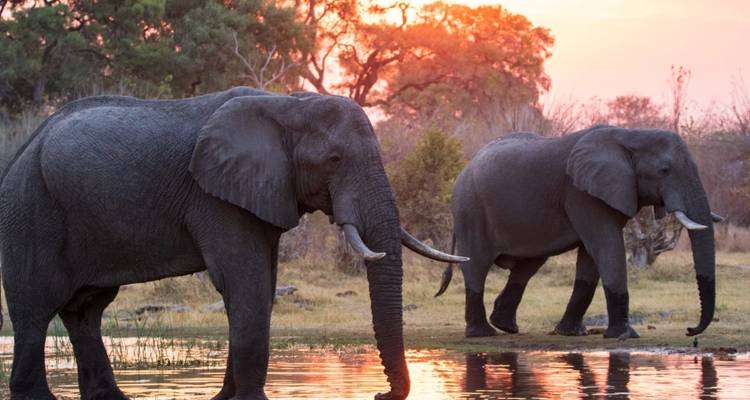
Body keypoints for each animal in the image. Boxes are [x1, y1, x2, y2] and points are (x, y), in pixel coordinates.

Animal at [0, 87, 468, 400]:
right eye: (335, 160)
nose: (379, 394)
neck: (288, 103)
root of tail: (23, 149)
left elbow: (258, 286)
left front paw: (226, 398)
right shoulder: (214, 196)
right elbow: (247, 282)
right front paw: (248, 399)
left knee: (86, 310)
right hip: (31, 211)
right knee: (35, 311)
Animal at [436, 126, 719, 339]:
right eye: (665, 170)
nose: (690, 330)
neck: (630, 134)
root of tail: (465, 168)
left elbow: (590, 259)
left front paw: (572, 333)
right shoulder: (582, 194)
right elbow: (606, 247)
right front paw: (624, 336)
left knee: (528, 265)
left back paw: (506, 326)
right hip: (470, 209)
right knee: (476, 265)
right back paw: (483, 333)